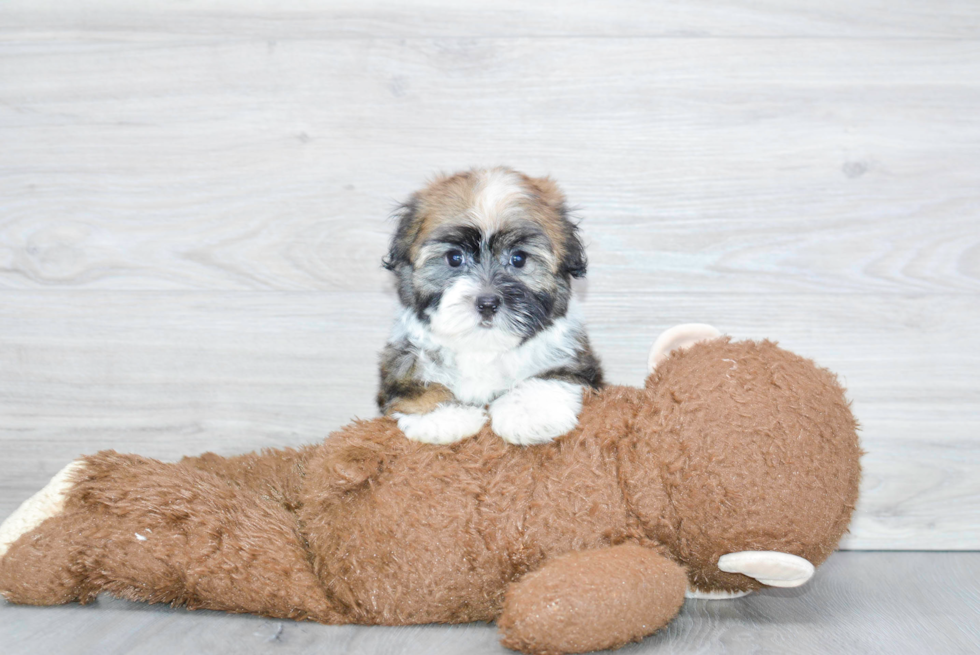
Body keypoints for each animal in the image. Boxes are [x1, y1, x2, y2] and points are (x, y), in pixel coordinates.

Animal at [378, 167, 600, 448]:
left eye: (519, 258)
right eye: (454, 258)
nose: (487, 304)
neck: (483, 348)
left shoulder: (573, 357)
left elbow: (550, 375)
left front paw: (530, 413)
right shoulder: (404, 355)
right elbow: (413, 382)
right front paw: (440, 416)